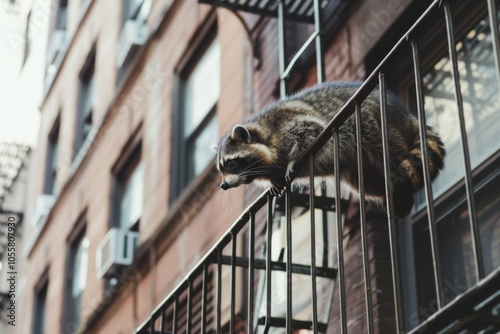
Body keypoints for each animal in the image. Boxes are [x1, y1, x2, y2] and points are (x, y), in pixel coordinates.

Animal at [213, 81, 444, 217]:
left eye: (231, 164)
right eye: (221, 169)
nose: (223, 186)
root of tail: (406, 115)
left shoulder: (288, 126)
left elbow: (311, 131)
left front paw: (292, 161)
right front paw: (273, 180)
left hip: (379, 124)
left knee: (378, 140)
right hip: (360, 171)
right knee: (370, 184)